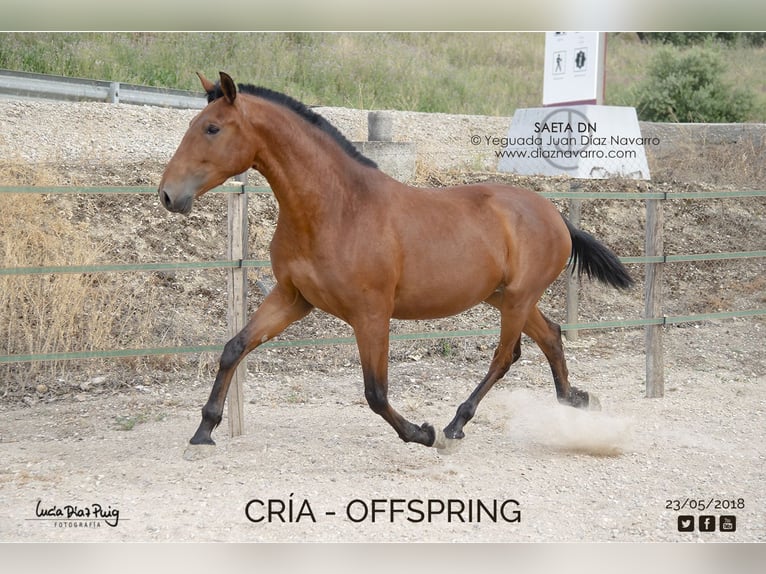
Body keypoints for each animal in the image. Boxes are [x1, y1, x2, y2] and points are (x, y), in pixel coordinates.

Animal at [158, 72, 633, 452]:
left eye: (212, 128)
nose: (167, 195)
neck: (338, 209)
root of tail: (554, 214)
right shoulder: (293, 298)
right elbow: (233, 348)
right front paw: (204, 432)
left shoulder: (371, 313)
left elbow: (376, 392)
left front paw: (422, 433)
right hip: (504, 297)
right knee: (549, 336)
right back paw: (575, 401)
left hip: (517, 299)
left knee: (505, 356)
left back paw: (454, 425)